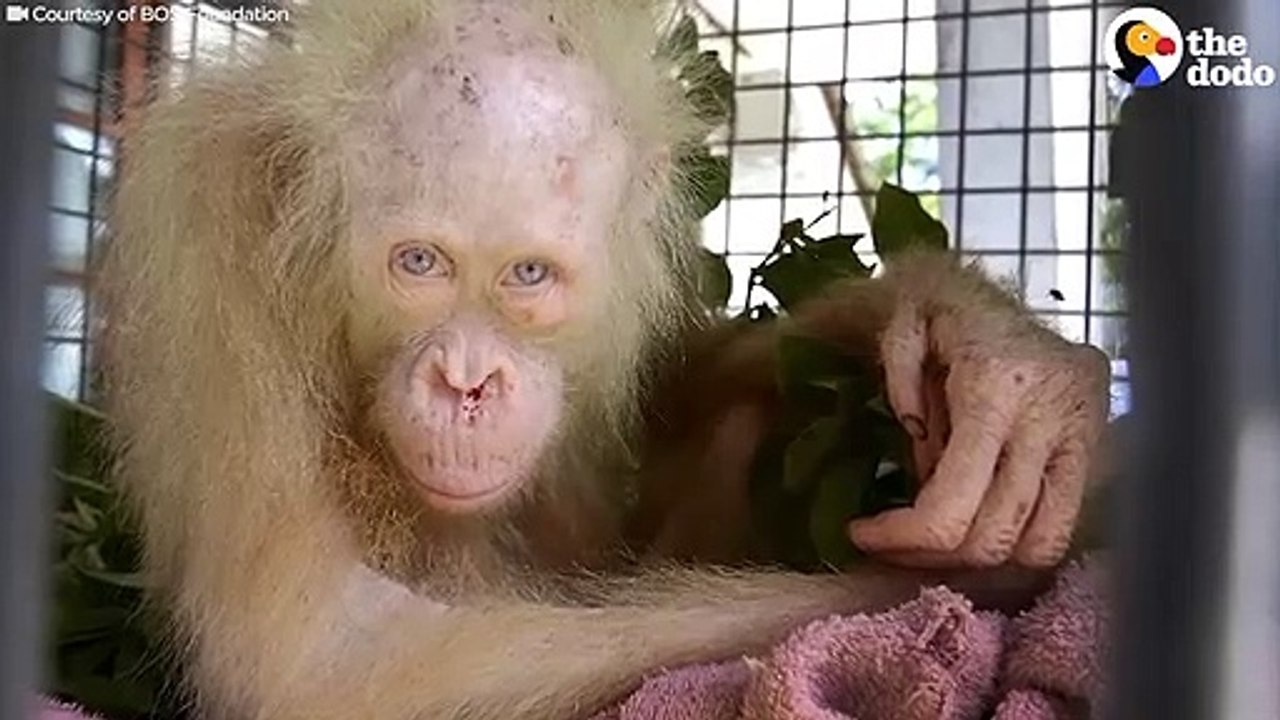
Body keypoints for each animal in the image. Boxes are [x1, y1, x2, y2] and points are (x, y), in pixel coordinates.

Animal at [95, 1, 1111, 719]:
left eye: (528, 274)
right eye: (420, 264)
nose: (467, 380)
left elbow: (671, 396)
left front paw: (978, 343)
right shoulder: (208, 229)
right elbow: (330, 657)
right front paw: (961, 590)